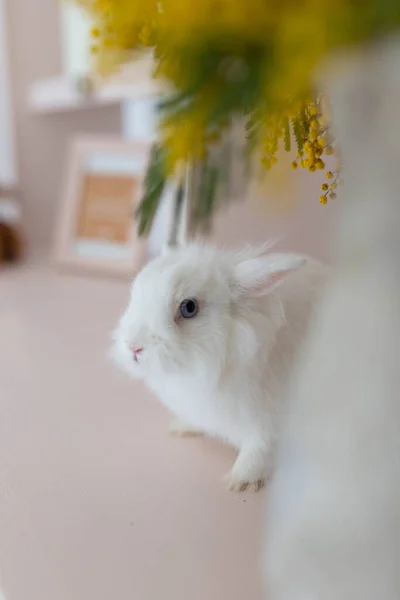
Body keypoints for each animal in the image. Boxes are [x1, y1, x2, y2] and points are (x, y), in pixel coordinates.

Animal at [111, 244, 324, 492]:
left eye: (189, 308)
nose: (133, 347)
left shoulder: (267, 422)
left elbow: (259, 448)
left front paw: (241, 482)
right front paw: (180, 427)